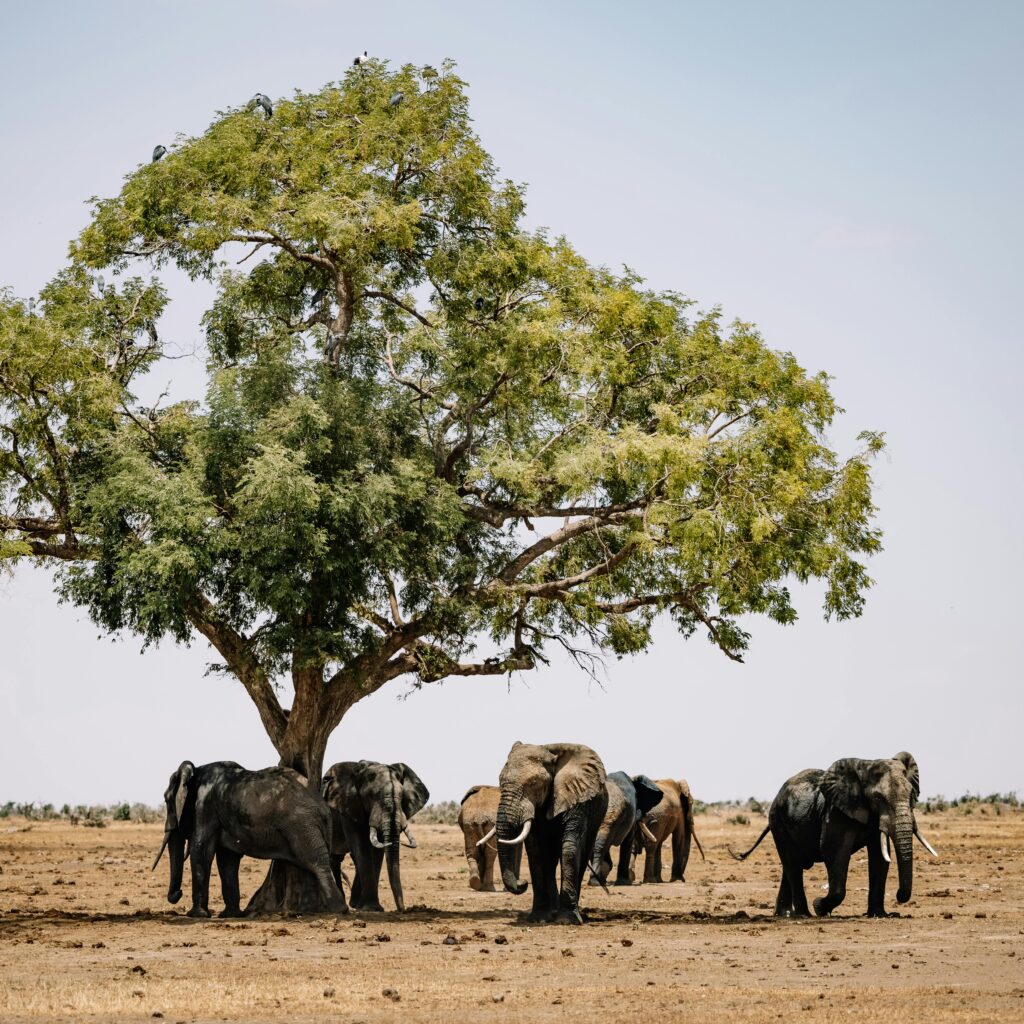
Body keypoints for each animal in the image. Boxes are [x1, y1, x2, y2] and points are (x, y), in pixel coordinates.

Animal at [323, 761, 428, 913]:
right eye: (371, 796)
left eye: (402, 796)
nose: (402, 910)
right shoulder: (349, 807)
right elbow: (361, 846)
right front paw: (371, 908)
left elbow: (376, 851)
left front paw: (367, 907)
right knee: (335, 859)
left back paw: (355, 903)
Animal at [495, 741, 606, 925]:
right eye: (500, 781)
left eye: (534, 783)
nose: (522, 882)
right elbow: (535, 853)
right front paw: (538, 919)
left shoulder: (576, 796)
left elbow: (570, 848)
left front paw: (567, 920)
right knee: (549, 860)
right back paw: (552, 912)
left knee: (581, 856)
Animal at [733, 749, 937, 917]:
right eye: (878, 797)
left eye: (911, 794)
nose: (899, 897)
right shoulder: (836, 812)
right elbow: (834, 851)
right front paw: (819, 907)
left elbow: (879, 857)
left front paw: (880, 915)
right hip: (777, 821)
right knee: (792, 864)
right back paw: (804, 915)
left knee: (791, 864)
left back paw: (785, 914)